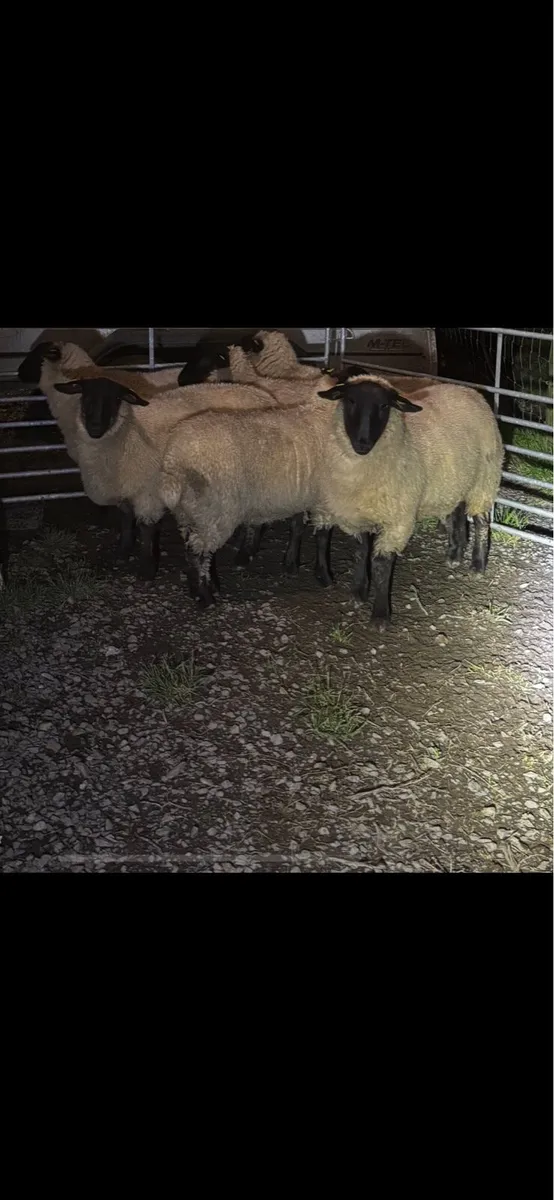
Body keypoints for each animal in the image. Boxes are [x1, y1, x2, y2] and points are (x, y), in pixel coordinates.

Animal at [311, 374, 504, 624]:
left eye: (384, 406)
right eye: (350, 400)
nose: (362, 443)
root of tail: (471, 391)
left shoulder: (398, 520)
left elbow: (381, 564)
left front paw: (380, 616)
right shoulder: (359, 513)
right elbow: (360, 553)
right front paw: (359, 592)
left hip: (484, 480)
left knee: (481, 521)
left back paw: (478, 565)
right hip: (454, 481)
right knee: (457, 514)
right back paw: (455, 553)